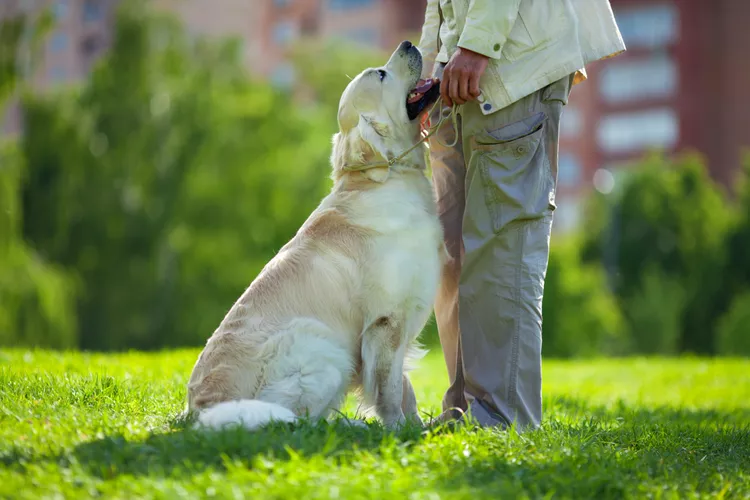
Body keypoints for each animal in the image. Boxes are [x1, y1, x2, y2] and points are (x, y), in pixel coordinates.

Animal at [187, 41, 446, 430]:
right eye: (381, 75)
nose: (408, 43)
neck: (385, 180)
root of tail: (200, 409)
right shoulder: (385, 320)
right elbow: (389, 387)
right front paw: (399, 429)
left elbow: (405, 386)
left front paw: (419, 426)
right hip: (322, 345)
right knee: (298, 422)